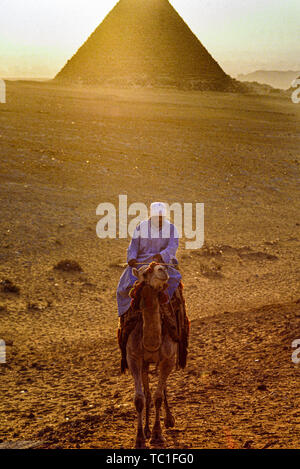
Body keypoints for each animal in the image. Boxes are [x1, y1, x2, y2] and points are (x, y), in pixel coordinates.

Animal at [125, 262, 177, 448]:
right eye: (144, 273)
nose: (163, 270)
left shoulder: (168, 360)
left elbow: (158, 396)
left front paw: (157, 434)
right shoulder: (133, 358)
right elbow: (140, 398)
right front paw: (140, 438)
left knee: (162, 389)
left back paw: (169, 419)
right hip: (145, 363)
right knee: (147, 393)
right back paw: (146, 429)